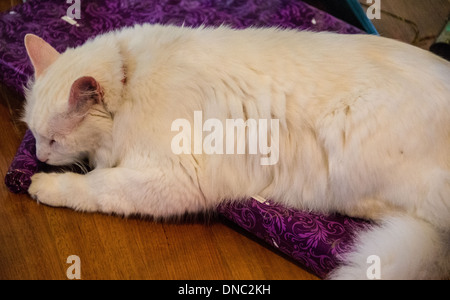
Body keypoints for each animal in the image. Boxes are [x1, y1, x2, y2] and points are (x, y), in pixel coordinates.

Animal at [23, 24, 450, 280]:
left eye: (54, 141)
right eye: (35, 135)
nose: (41, 156)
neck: (130, 75)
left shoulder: (177, 177)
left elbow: (97, 185)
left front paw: (44, 185)